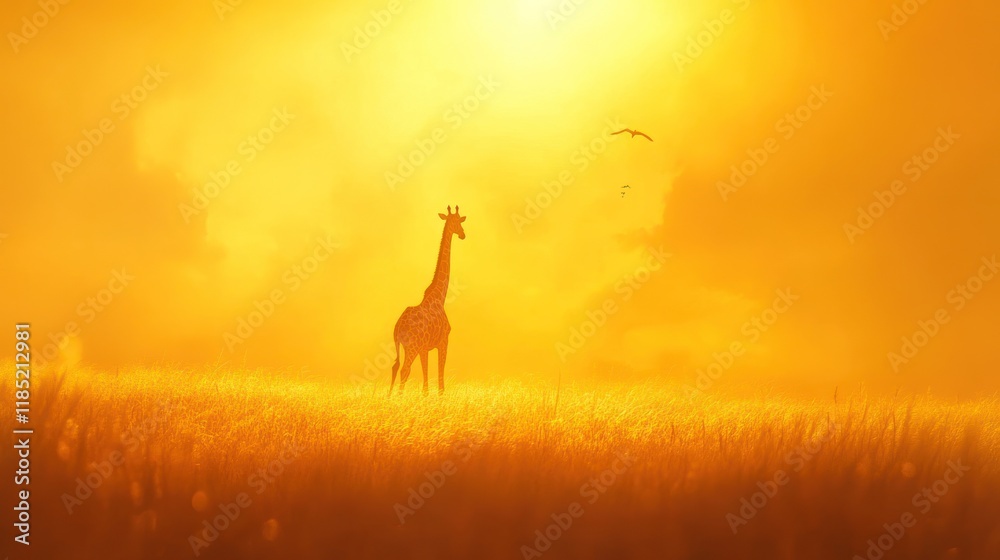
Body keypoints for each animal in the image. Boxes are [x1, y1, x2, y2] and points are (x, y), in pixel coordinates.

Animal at [390, 205, 468, 394]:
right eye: (458, 222)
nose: (463, 234)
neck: (440, 297)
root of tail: (398, 327)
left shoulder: (424, 348)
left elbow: (425, 379)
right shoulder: (443, 342)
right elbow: (440, 376)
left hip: (401, 345)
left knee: (395, 367)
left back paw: (389, 397)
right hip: (411, 347)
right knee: (404, 369)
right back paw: (398, 397)